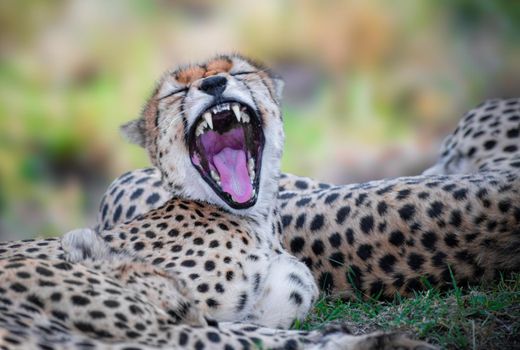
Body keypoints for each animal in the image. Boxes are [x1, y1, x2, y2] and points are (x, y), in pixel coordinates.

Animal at [0, 53, 436, 348]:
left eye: (237, 71)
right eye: (178, 90)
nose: (214, 85)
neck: (253, 219)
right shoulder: (165, 312)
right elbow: (252, 337)